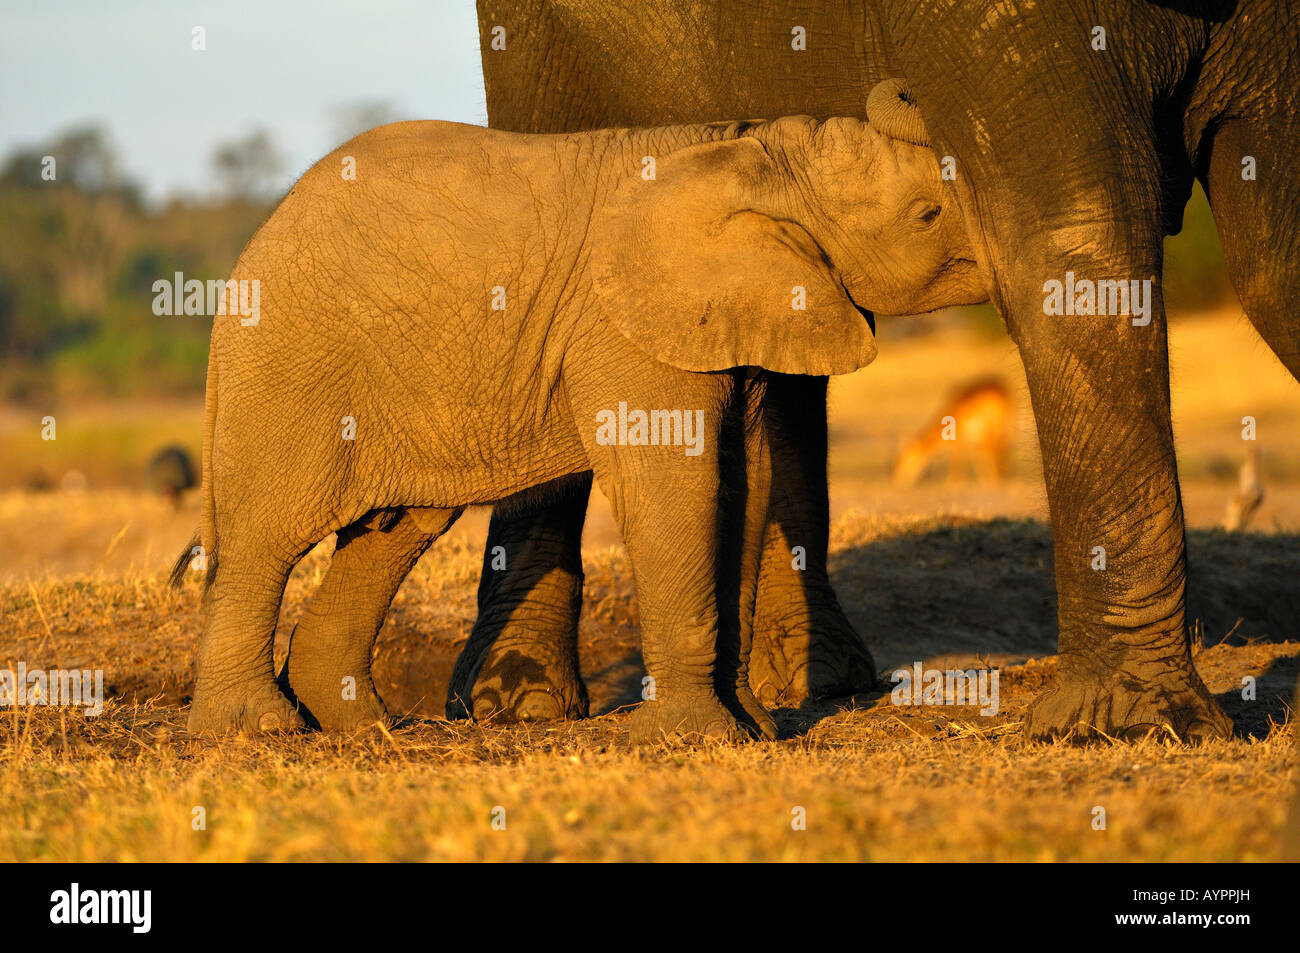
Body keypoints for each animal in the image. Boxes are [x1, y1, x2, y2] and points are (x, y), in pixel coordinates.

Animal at [178, 85, 977, 738]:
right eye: (927, 215)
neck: (757, 149)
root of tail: (250, 250)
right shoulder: (620, 325)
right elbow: (675, 485)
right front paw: (688, 737)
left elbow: (746, 482)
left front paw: (755, 729)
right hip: (289, 367)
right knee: (267, 536)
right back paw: (256, 729)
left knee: (397, 528)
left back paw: (364, 725)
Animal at [287, 0, 1300, 738]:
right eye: (929, 215)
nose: (902, 90)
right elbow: (1071, 240)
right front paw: (1131, 726)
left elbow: (1278, 254)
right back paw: (519, 704)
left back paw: (808, 686)